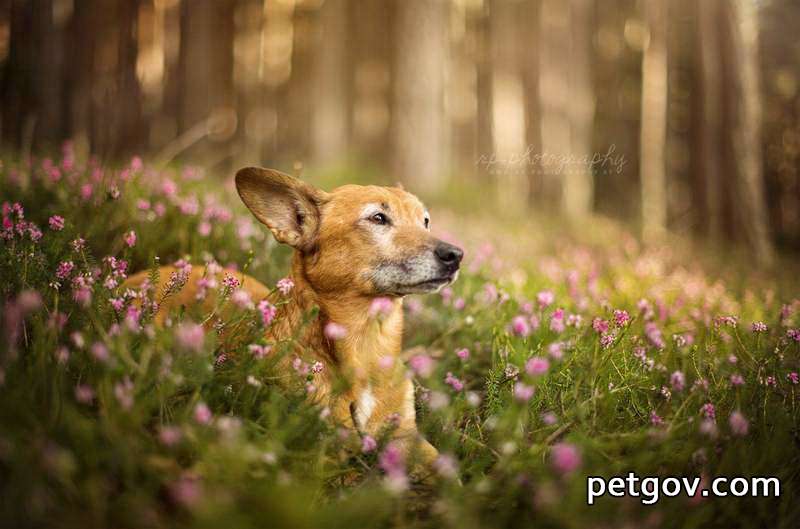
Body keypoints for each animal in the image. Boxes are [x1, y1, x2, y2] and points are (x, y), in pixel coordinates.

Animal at [125, 168, 462, 474]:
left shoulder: (407, 437)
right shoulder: (325, 451)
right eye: (378, 218)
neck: (368, 342)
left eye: (425, 221)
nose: (456, 254)